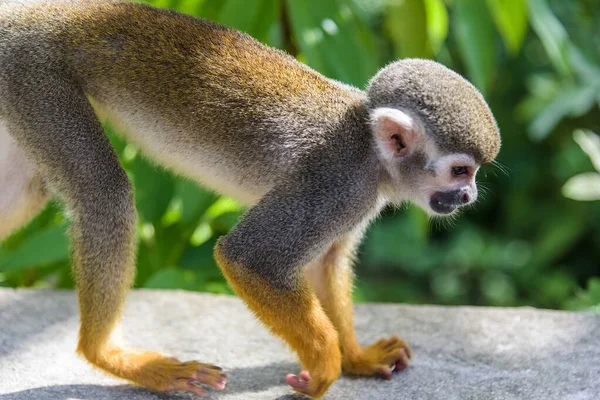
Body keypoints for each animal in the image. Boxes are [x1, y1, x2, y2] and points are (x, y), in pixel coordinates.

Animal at [0, 0, 500, 396]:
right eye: (461, 170)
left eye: (474, 173)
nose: (469, 194)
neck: (370, 150)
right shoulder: (337, 183)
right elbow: (248, 257)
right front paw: (325, 364)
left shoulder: (356, 200)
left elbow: (326, 263)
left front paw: (356, 356)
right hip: (37, 75)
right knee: (105, 195)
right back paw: (108, 355)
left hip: (19, 93)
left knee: (28, 190)